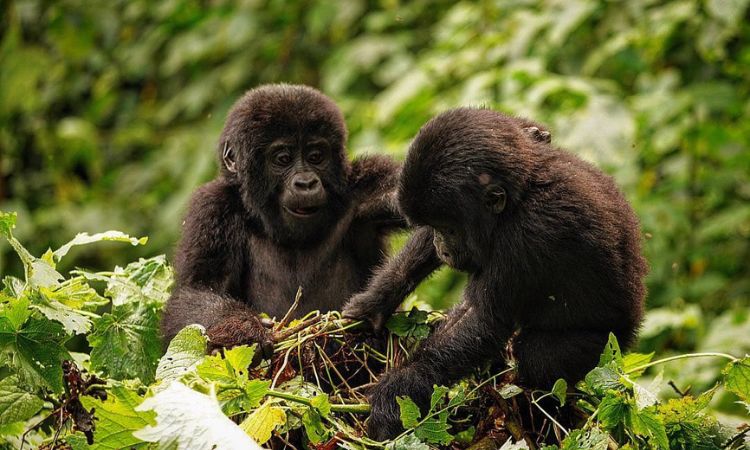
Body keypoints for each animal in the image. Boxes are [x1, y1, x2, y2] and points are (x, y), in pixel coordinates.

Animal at [161, 82, 402, 354]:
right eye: (283, 159)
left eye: (315, 156)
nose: (306, 183)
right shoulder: (212, 207)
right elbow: (196, 290)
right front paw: (242, 327)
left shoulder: (367, 184)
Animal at [344, 108, 648, 440]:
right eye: (435, 227)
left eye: (449, 229)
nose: (442, 247)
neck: (522, 194)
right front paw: (375, 303)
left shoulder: (526, 234)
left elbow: (484, 321)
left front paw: (398, 391)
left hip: (606, 346)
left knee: (539, 359)